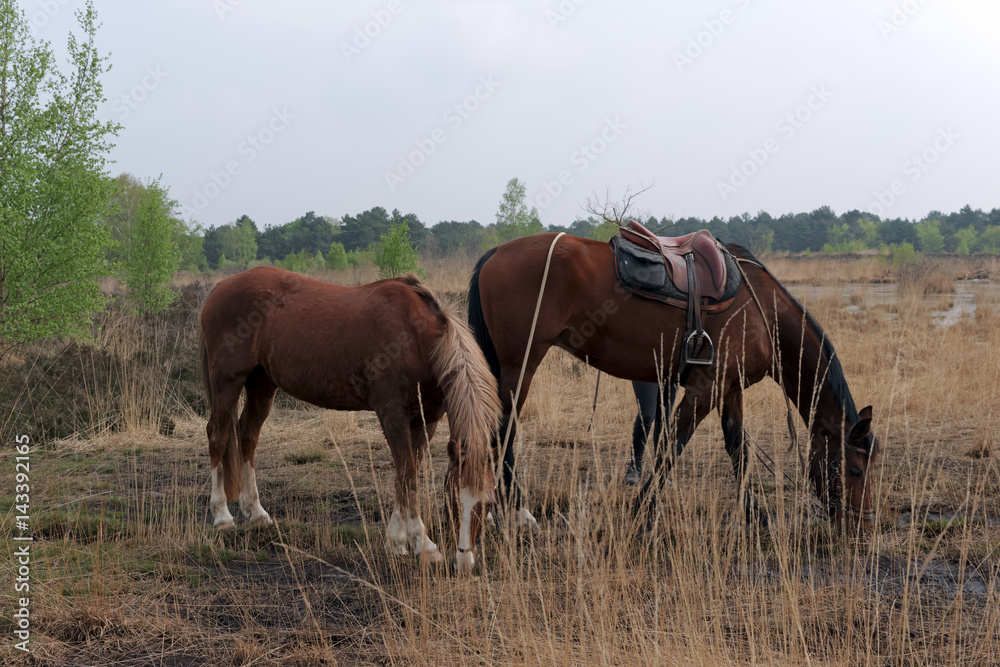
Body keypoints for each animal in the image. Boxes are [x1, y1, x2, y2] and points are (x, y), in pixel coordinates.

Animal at [199, 266, 500, 576]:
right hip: (227, 383)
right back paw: (222, 516)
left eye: (489, 504)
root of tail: (221, 287)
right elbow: (407, 475)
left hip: (261, 384)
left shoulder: (426, 420)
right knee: (218, 437)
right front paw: (424, 545)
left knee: (248, 437)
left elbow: (407, 475)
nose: (464, 563)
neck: (416, 338)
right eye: (452, 499)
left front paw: (397, 541)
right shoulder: (392, 414)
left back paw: (256, 512)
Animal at [464, 234, 880, 532]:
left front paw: (756, 516)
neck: (762, 309)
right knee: (503, 432)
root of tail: (497, 252)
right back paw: (519, 512)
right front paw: (642, 509)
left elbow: (738, 450)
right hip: (520, 364)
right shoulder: (704, 388)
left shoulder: (727, 388)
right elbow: (671, 447)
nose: (860, 526)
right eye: (855, 470)